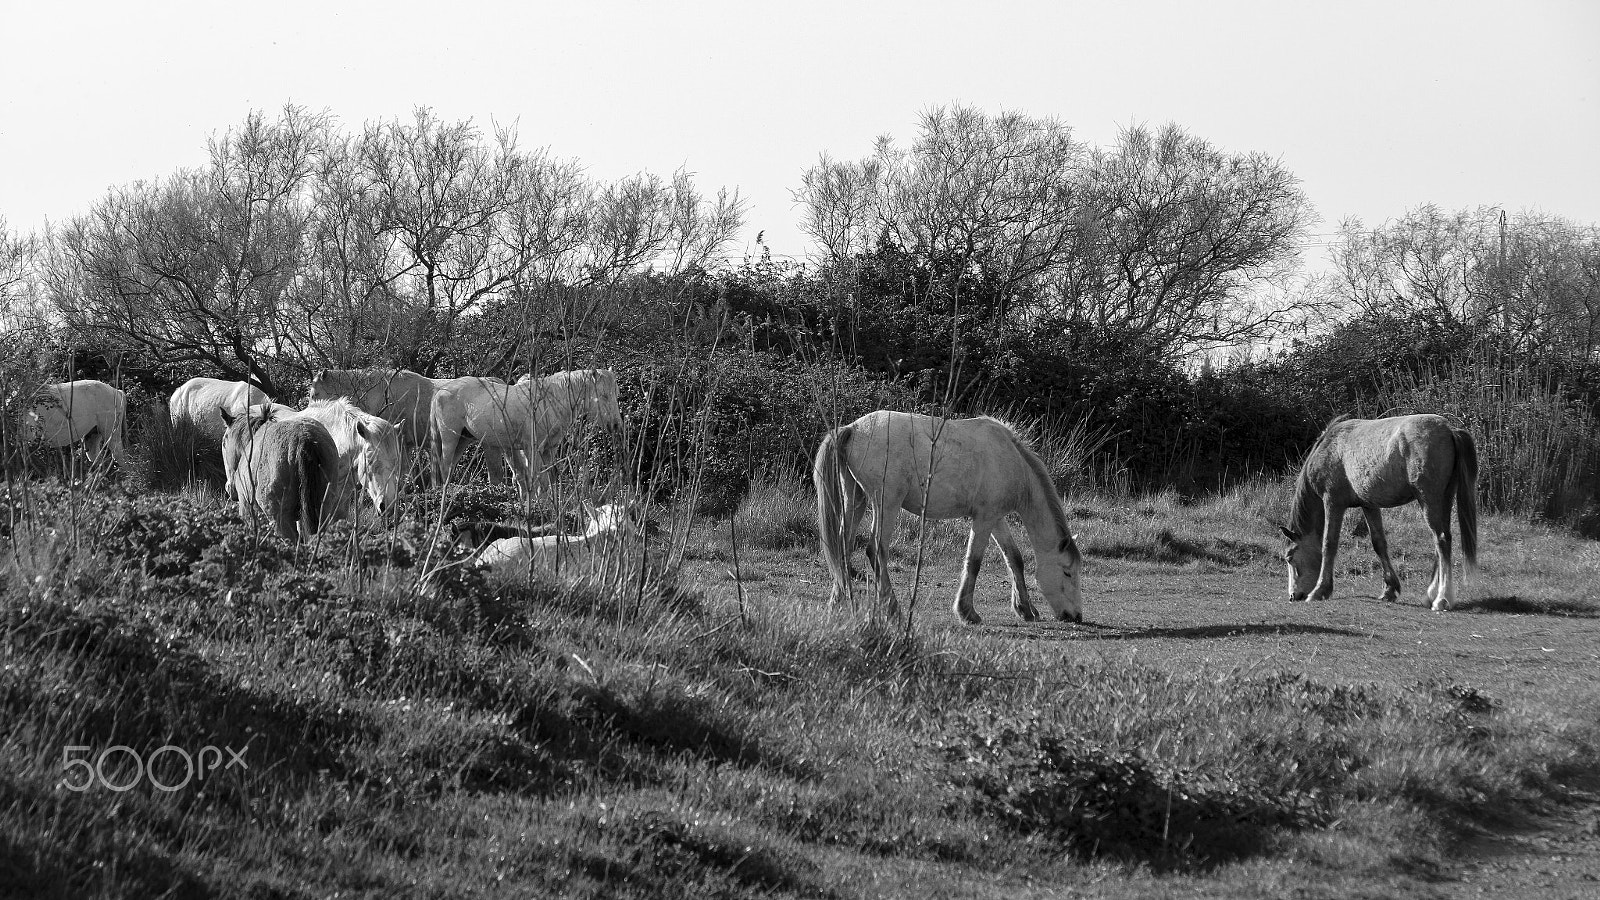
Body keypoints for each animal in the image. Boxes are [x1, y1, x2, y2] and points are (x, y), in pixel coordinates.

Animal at [219, 405, 341, 541]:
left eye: (224, 443)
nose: (229, 489)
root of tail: (305, 438)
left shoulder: (246, 507)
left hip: (279, 518)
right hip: (323, 509)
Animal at [430, 369, 622, 500]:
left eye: (616, 394)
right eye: (604, 395)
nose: (615, 425)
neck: (549, 401)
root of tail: (441, 390)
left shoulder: (548, 450)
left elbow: (547, 479)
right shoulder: (532, 448)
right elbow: (535, 477)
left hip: (463, 440)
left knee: (449, 467)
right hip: (450, 439)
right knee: (445, 466)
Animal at [813, 410, 1083, 624]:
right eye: (1067, 572)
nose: (1076, 616)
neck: (1011, 459)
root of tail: (853, 428)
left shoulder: (995, 518)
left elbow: (1014, 558)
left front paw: (1025, 609)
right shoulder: (984, 519)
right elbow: (974, 562)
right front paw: (967, 612)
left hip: (855, 498)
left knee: (843, 546)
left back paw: (841, 602)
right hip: (886, 504)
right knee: (875, 550)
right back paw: (892, 608)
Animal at [1280, 414, 1478, 611]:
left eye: (1290, 558)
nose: (1292, 596)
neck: (1330, 447)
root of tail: (1449, 429)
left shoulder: (1333, 502)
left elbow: (1329, 544)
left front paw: (1320, 591)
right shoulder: (1369, 505)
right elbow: (1379, 543)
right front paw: (1389, 589)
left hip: (1429, 499)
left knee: (1442, 539)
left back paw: (1442, 598)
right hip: (1444, 499)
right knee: (1440, 540)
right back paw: (1431, 594)